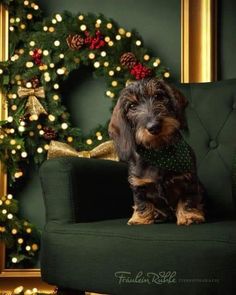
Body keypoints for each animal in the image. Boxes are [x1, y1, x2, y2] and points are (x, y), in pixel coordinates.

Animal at [108, 78, 205, 227]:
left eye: (158, 96)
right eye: (132, 106)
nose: (154, 127)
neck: (159, 152)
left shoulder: (189, 180)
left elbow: (188, 199)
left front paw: (189, 215)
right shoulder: (139, 184)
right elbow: (142, 202)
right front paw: (140, 219)